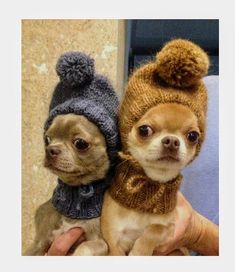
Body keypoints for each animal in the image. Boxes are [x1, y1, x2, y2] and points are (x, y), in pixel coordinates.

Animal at [101, 39, 209, 256]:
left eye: (193, 136)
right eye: (144, 130)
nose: (172, 141)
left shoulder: (172, 230)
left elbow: (155, 229)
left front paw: (140, 251)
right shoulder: (112, 239)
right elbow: (116, 250)